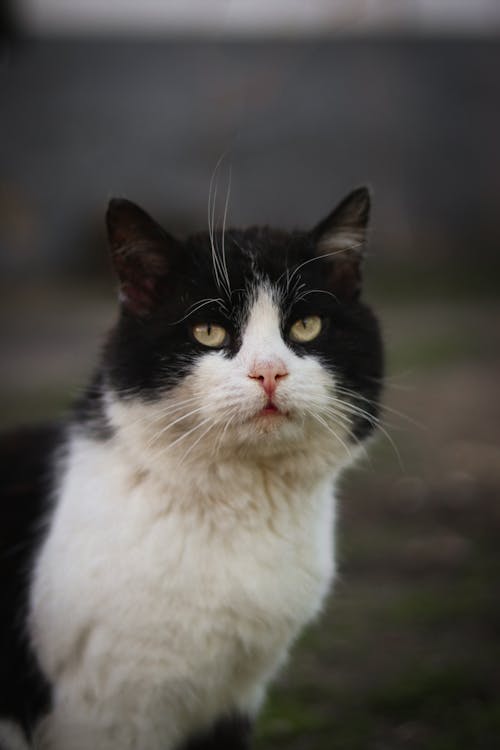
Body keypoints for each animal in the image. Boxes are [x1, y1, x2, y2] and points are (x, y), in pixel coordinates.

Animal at [0, 185, 382, 748]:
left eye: (306, 325)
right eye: (207, 331)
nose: (269, 372)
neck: (241, 507)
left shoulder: (231, 698)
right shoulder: (107, 711)